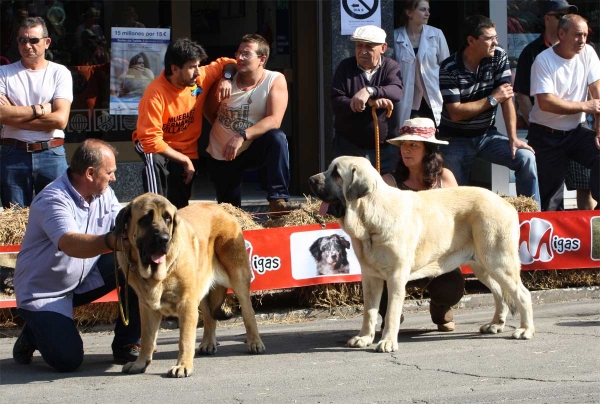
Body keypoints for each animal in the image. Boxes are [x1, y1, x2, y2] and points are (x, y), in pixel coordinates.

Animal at [113, 193, 264, 376]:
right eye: (145, 219)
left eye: (168, 218)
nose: (164, 239)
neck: (159, 274)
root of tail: (221, 208)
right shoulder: (147, 308)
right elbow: (147, 339)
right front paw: (140, 363)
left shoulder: (186, 304)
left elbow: (184, 339)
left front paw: (183, 366)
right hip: (201, 288)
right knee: (209, 316)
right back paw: (208, 343)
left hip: (238, 277)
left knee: (248, 312)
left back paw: (254, 342)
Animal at [310, 156, 536, 352]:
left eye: (336, 173)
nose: (311, 180)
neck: (370, 215)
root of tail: (506, 203)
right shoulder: (371, 277)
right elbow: (369, 311)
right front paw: (364, 337)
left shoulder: (396, 277)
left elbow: (391, 312)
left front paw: (387, 342)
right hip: (483, 265)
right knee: (500, 293)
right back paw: (495, 324)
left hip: (498, 261)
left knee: (522, 294)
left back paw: (525, 330)